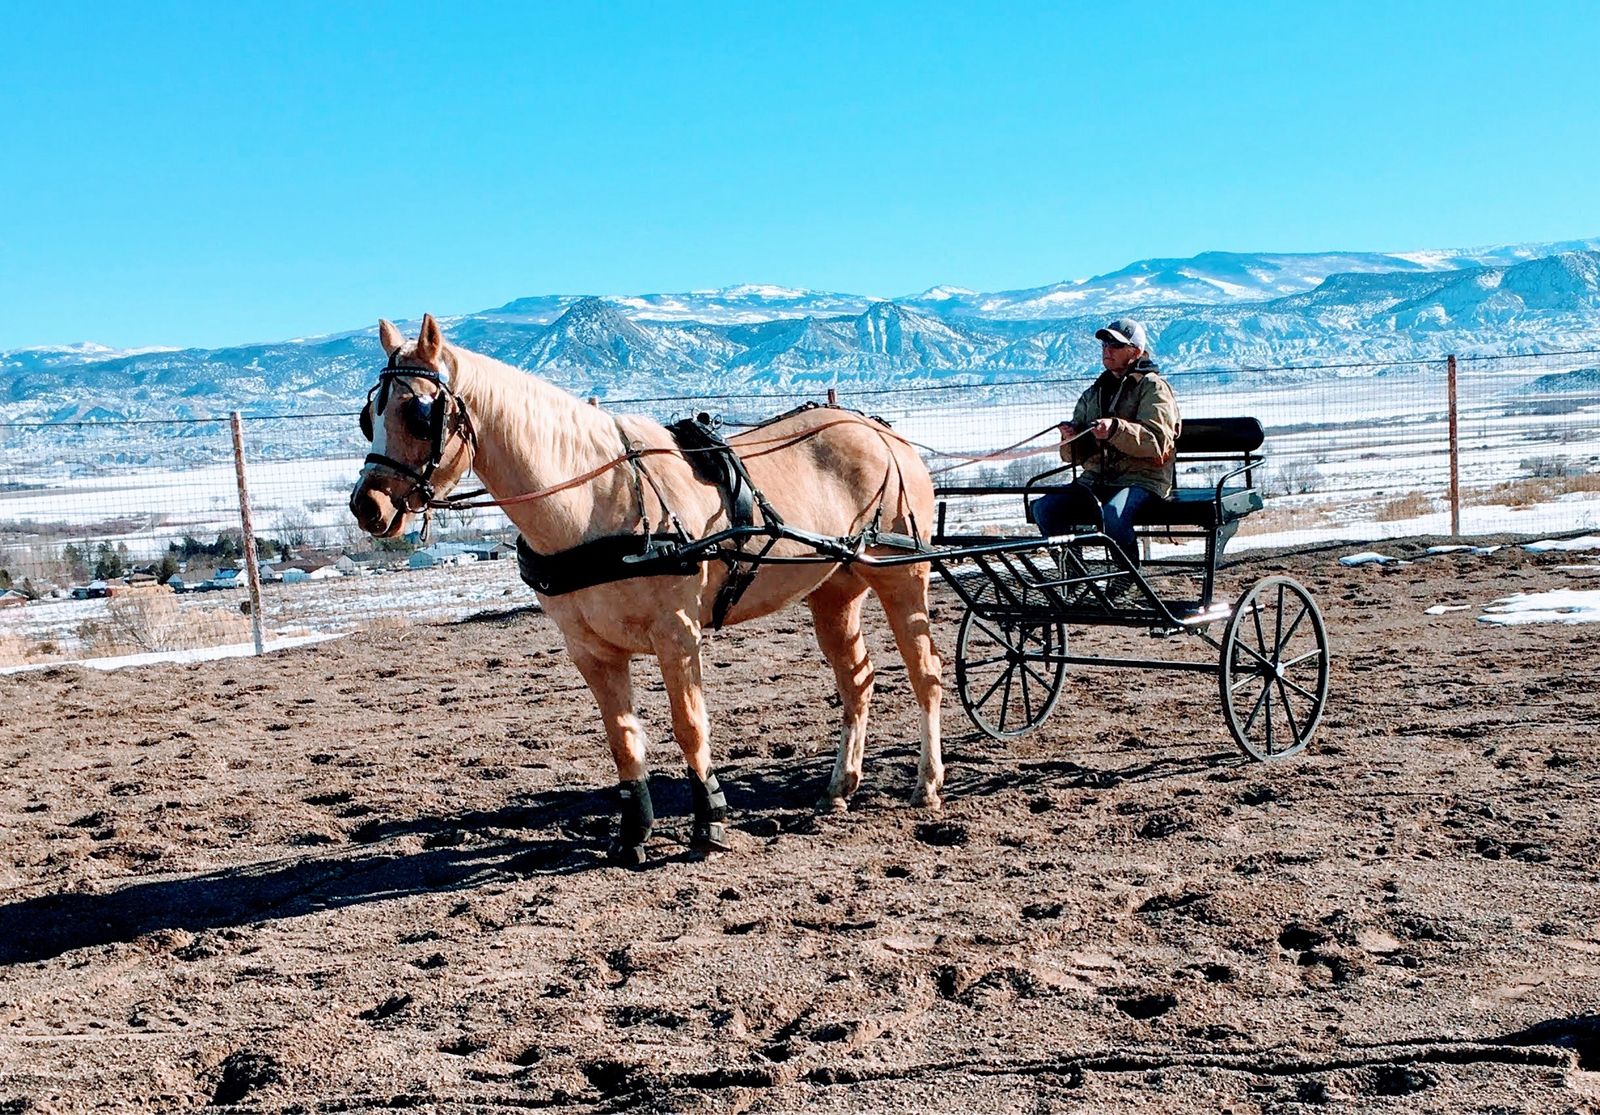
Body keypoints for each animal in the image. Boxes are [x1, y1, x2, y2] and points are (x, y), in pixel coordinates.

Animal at [349, 314, 944, 863]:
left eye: (420, 413)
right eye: (368, 415)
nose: (366, 506)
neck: (592, 502)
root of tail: (882, 432)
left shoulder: (676, 634)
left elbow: (690, 726)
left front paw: (710, 823)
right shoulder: (589, 649)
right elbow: (623, 738)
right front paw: (633, 833)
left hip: (902, 574)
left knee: (926, 674)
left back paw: (927, 784)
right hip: (835, 590)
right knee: (857, 679)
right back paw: (839, 788)